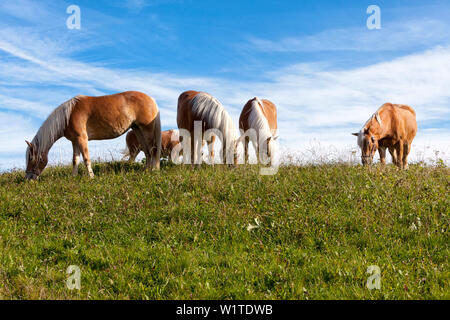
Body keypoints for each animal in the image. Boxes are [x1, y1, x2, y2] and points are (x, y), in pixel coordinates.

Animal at [25, 90, 162, 180]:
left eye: (31, 158)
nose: (28, 177)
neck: (68, 115)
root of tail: (152, 100)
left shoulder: (82, 139)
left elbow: (86, 158)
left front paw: (91, 177)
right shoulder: (75, 141)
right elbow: (75, 160)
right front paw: (73, 177)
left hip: (147, 130)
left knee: (153, 149)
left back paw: (153, 170)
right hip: (138, 130)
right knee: (147, 151)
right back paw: (146, 170)